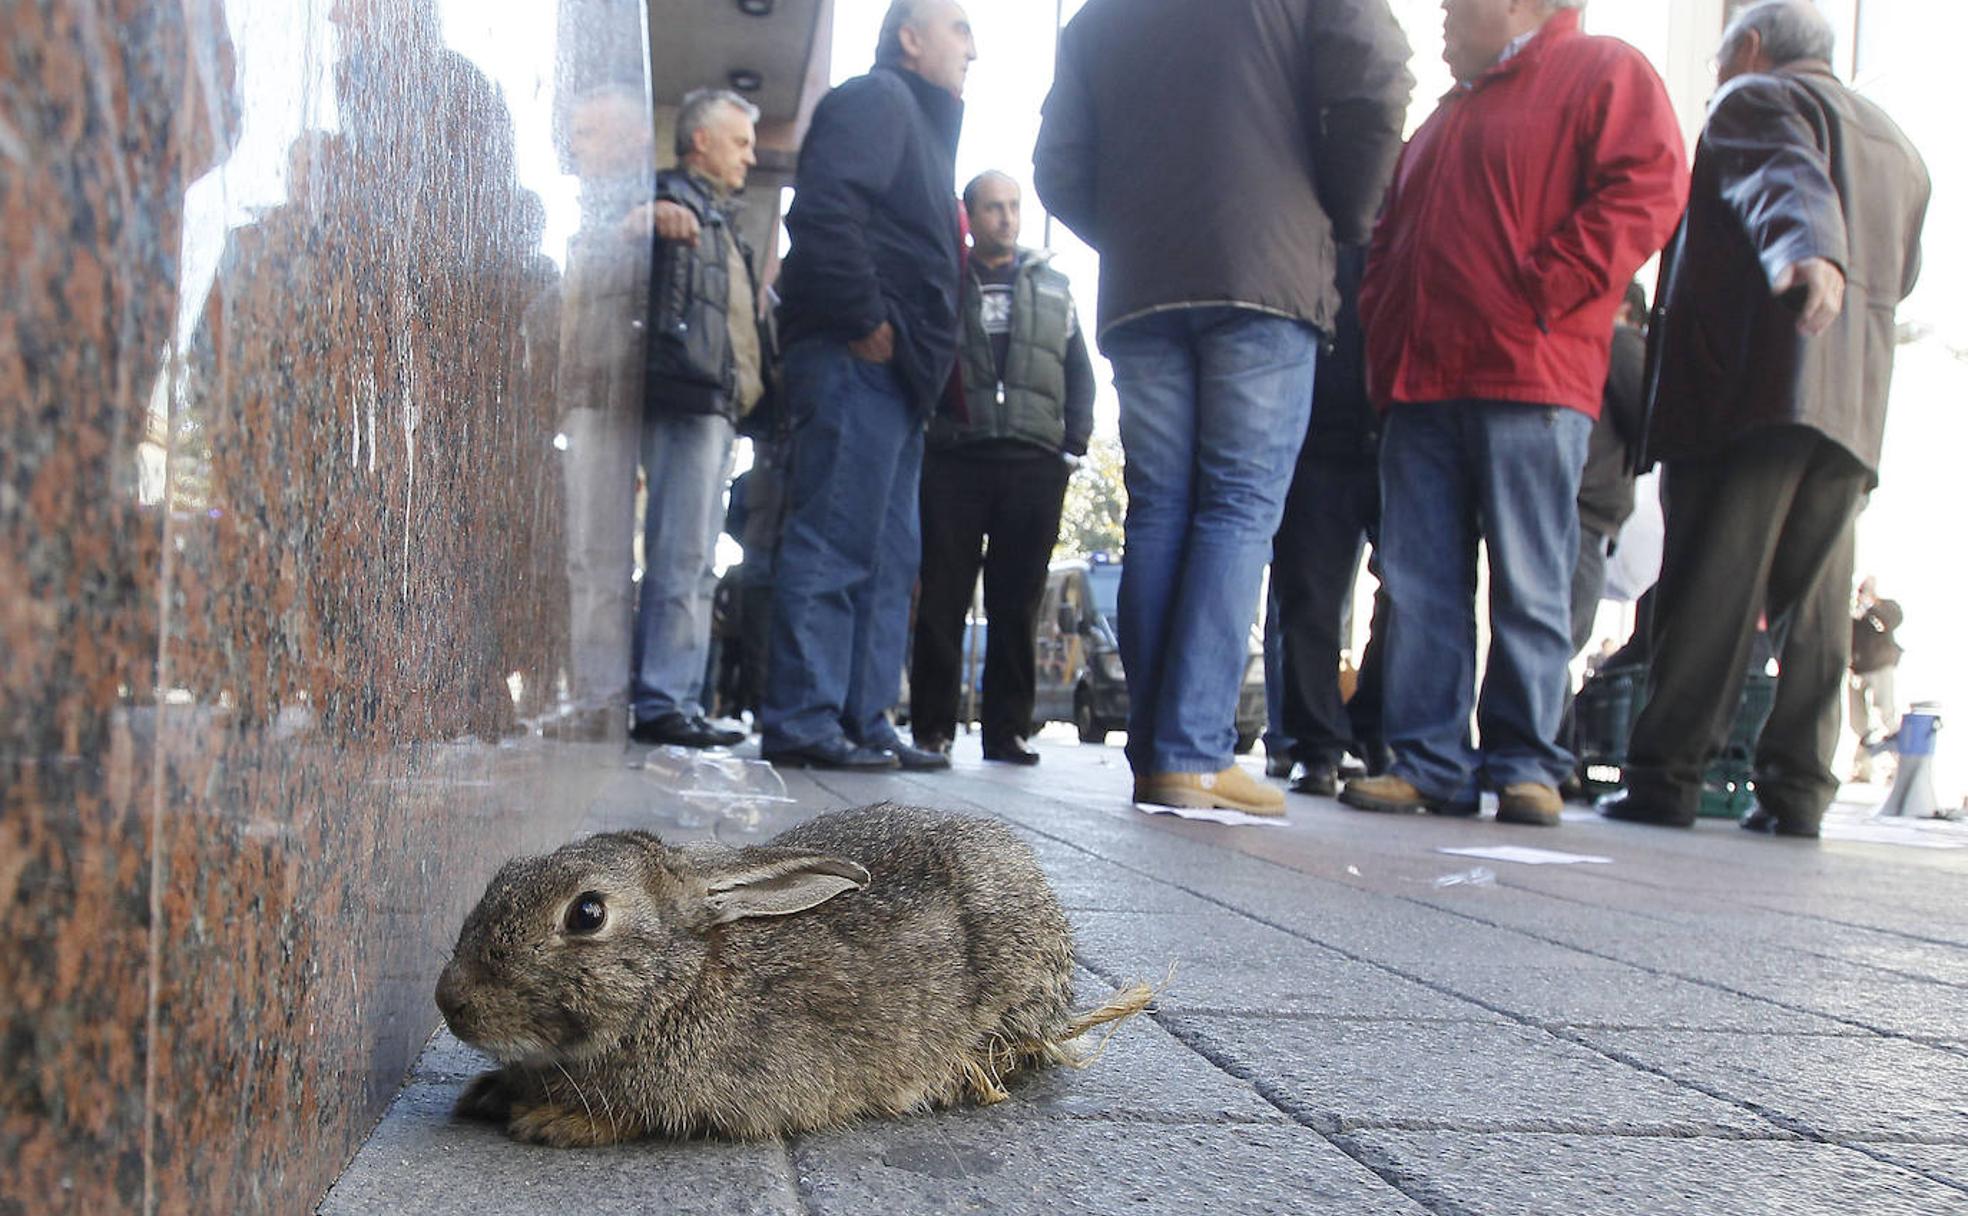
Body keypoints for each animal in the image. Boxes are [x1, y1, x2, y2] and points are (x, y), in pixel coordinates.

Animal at [423, 798, 1149, 1141]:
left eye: (588, 913)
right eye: (507, 872)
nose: (450, 1000)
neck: (679, 983)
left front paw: (552, 1122)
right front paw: (488, 1093)